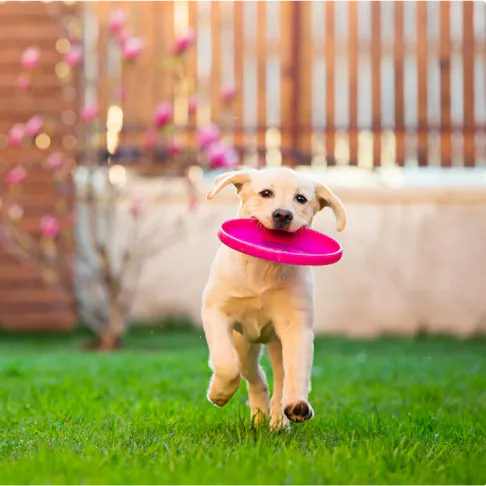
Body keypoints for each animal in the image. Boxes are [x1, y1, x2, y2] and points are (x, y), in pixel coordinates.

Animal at [202, 167, 346, 428]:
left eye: (300, 199)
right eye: (266, 193)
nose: (282, 214)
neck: (264, 268)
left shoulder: (296, 327)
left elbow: (297, 369)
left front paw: (297, 405)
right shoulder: (215, 311)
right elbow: (226, 363)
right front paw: (219, 393)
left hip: (277, 345)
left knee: (279, 380)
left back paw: (279, 419)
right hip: (244, 344)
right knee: (254, 375)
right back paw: (259, 417)